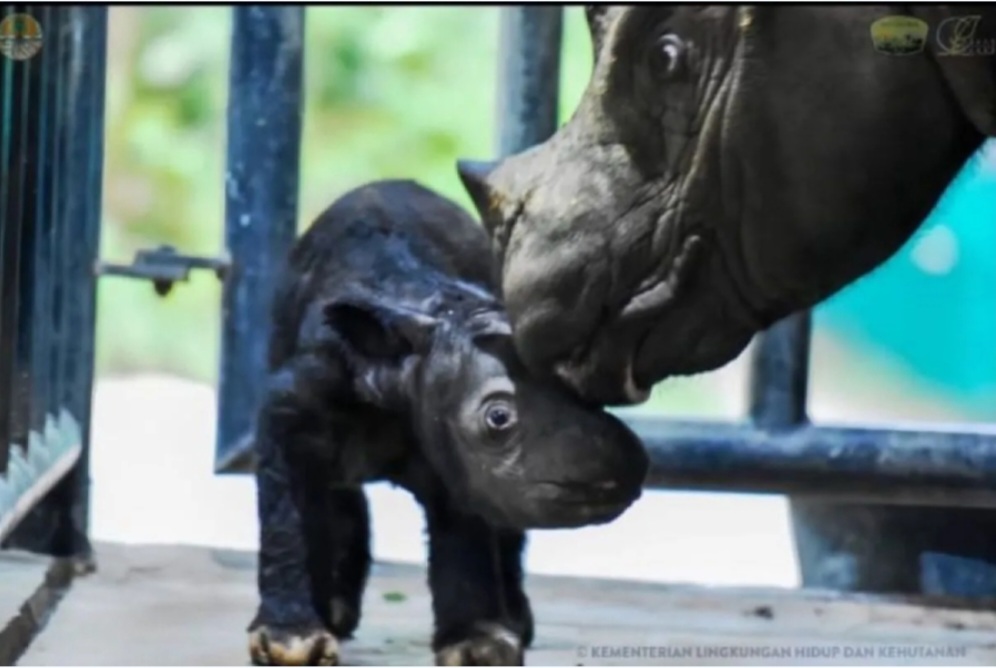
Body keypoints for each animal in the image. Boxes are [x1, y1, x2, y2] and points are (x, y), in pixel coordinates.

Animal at [247, 180, 647, 666]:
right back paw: (336, 613)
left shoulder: (459, 456)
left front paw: (478, 645)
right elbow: (286, 513)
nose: (625, 469)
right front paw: (290, 640)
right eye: (498, 418)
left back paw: (514, 619)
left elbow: (467, 525)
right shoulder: (290, 408)